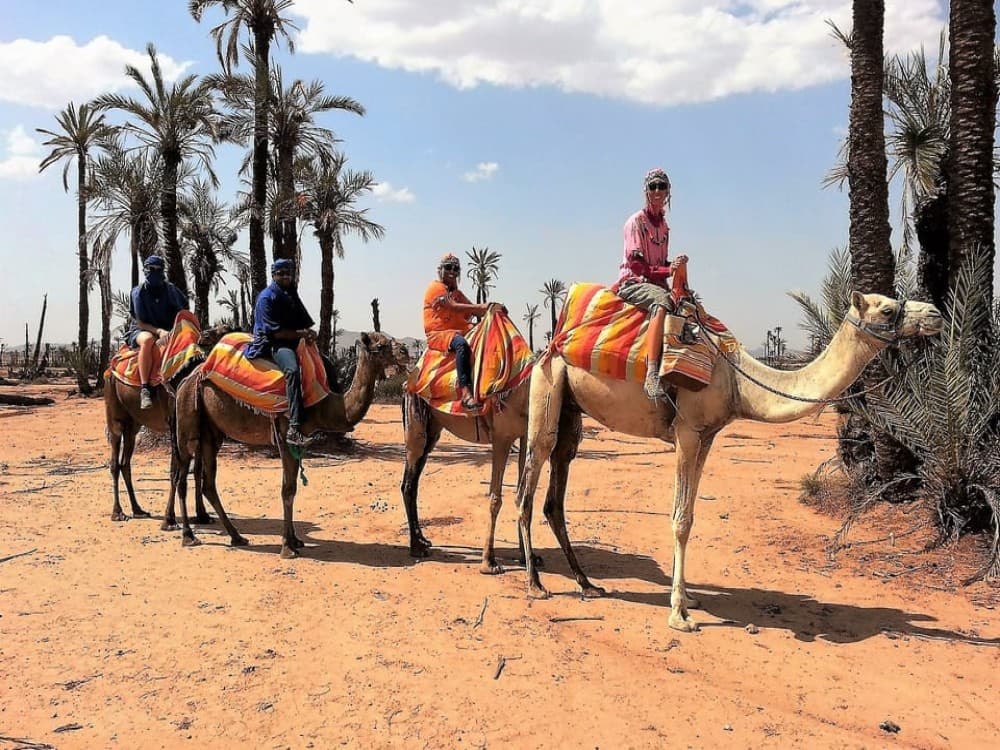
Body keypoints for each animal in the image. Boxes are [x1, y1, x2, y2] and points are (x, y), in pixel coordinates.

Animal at [104, 325, 228, 526]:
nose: (206, 335)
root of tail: (111, 367)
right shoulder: (173, 423)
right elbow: (174, 471)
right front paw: (169, 519)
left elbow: (197, 470)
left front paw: (202, 515)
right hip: (114, 411)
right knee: (115, 460)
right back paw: (118, 513)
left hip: (133, 424)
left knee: (125, 462)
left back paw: (138, 509)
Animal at [173, 332, 408, 558]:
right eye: (381, 345)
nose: (405, 351)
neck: (322, 404)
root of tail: (188, 379)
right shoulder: (285, 437)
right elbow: (287, 489)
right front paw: (287, 547)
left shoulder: (299, 443)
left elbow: (293, 488)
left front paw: (295, 540)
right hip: (186, 421)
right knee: (181, 477)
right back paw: (188, 535)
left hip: (211, 433)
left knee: (208, 484)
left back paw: (237, 537)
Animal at [515, 291, 943, 632]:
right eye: (888, 309)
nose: (936, 313)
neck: (739, 382)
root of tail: (549, 346)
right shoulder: (687, 432)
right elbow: (680, 520)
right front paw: (679, 615)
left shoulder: (707, 437)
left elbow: (690, 515)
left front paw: (688, 598)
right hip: (547, 391)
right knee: (527, 488)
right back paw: (536, 583)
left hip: (571, 411)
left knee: (554, 497)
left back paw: (587, 584)